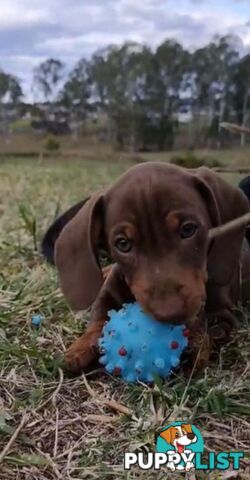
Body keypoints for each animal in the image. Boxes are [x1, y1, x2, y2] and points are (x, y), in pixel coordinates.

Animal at [42, 163, 248, 374]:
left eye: (188, 229)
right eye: (123, 244)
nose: (169, 314)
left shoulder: (222, 317)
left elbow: (212, 330)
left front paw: (195, 343)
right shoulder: (107, 293)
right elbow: (100, 317)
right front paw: (81, 346)